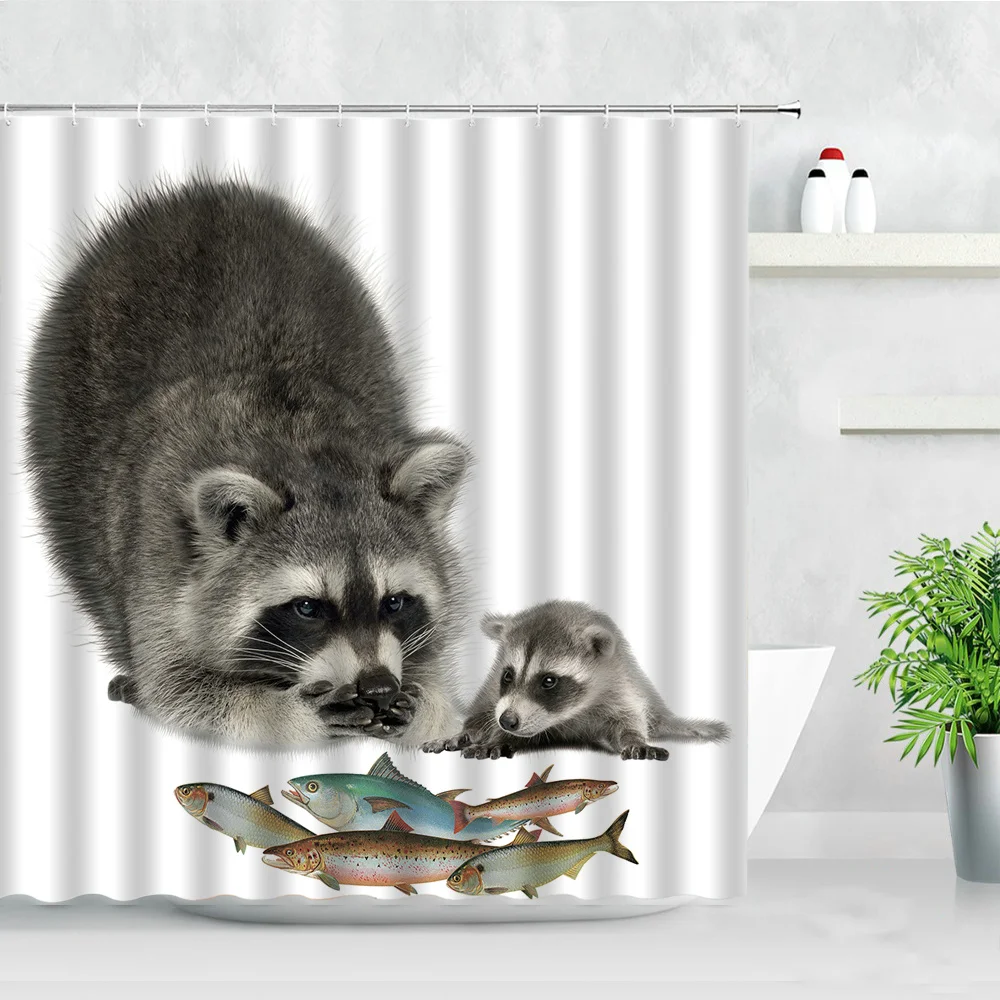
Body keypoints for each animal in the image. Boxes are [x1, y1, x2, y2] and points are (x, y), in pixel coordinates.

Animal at [24, 178, 469, 748]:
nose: (377, 686)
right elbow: (179, 687)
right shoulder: (160, 552)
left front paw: (427, 704)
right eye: (308, 607)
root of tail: (205, 194)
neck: (304, 450)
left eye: (394, 602)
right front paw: (287, 712)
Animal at [423, 601, 730, 759]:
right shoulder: (495, 691)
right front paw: (492, 735)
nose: (507, 721)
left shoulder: (618, 688)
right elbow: (486, 716)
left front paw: (634, 739)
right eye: (508, 675)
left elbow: (628, 721)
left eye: (549, 681)